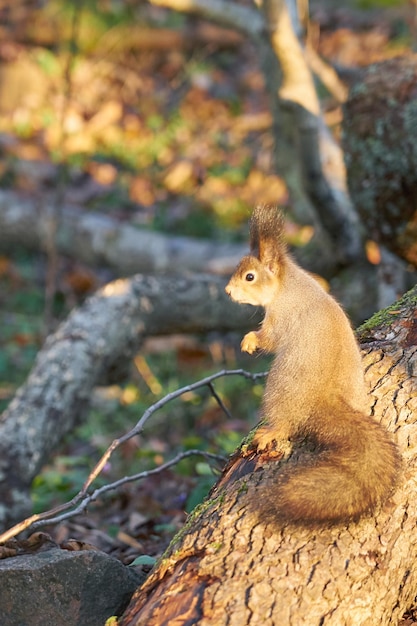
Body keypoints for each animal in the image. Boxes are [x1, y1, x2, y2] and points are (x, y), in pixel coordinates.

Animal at [224, 205, 400, 520]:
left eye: (250, 277)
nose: (227, 292)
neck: (288, 285)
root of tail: (325, 400)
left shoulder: (282, 317)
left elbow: (270, 339)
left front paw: (250, 341)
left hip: (280, 385)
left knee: (287, 424)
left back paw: (271, 431)